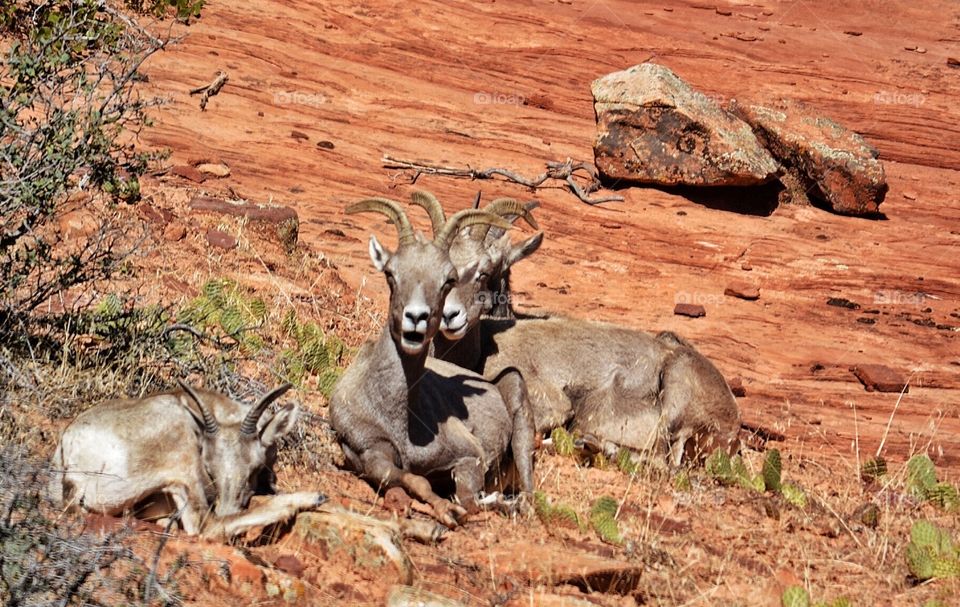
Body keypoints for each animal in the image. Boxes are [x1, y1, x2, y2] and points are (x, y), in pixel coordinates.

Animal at [328, 197, 540, 528]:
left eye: (447, 280)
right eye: (390, 273)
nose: (416, 317)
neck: (398, 418)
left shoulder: (470, 456)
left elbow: (469, 500)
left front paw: (470, 507)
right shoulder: (368, 452)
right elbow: (415, 480)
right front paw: (445, 510)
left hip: (517, 398)